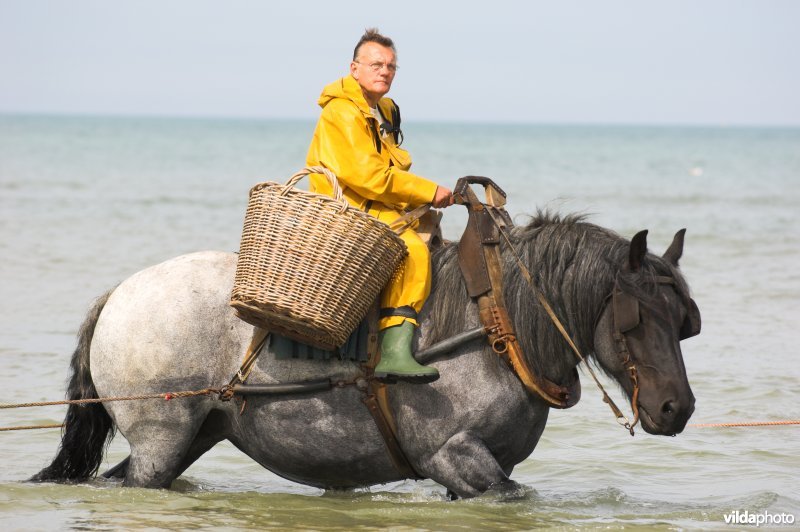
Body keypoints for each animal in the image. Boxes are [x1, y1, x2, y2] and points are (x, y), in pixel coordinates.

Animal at [32, 212, 698, 499]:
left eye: (684, 321)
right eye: (638, 318)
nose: (678, 408)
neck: (496, 330)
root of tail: (120, 292)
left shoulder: (478, 468)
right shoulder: (452, 456)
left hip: (188, 437)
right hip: (161, 438)